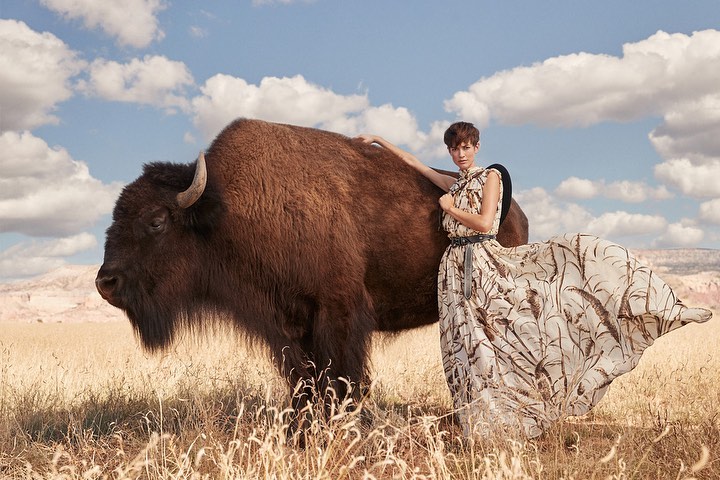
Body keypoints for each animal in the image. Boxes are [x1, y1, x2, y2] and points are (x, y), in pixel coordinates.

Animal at [95, 118, 528, 432]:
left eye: (156, 221)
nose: (105, 283)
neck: (226, 208)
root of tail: (517, 213)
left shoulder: (337, 312)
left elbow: (339, 377)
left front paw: (340, 424)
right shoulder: (286, 325)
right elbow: (302, 380)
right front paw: (302, 428)